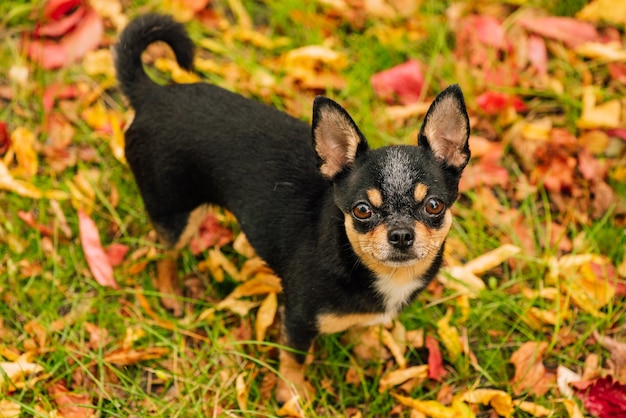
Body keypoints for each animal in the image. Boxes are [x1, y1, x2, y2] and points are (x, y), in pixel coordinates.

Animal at [116, 14, 468, 404]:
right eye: (362, 211)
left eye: (434, 205)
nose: (402, 234)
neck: (376, 272)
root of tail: (152, 93)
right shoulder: (297, 318)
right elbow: (295, 357)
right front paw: (293, 395)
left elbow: (363, 326)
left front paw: (365, 348)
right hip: (176, 213)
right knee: (165, 253)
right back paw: (170, 294)